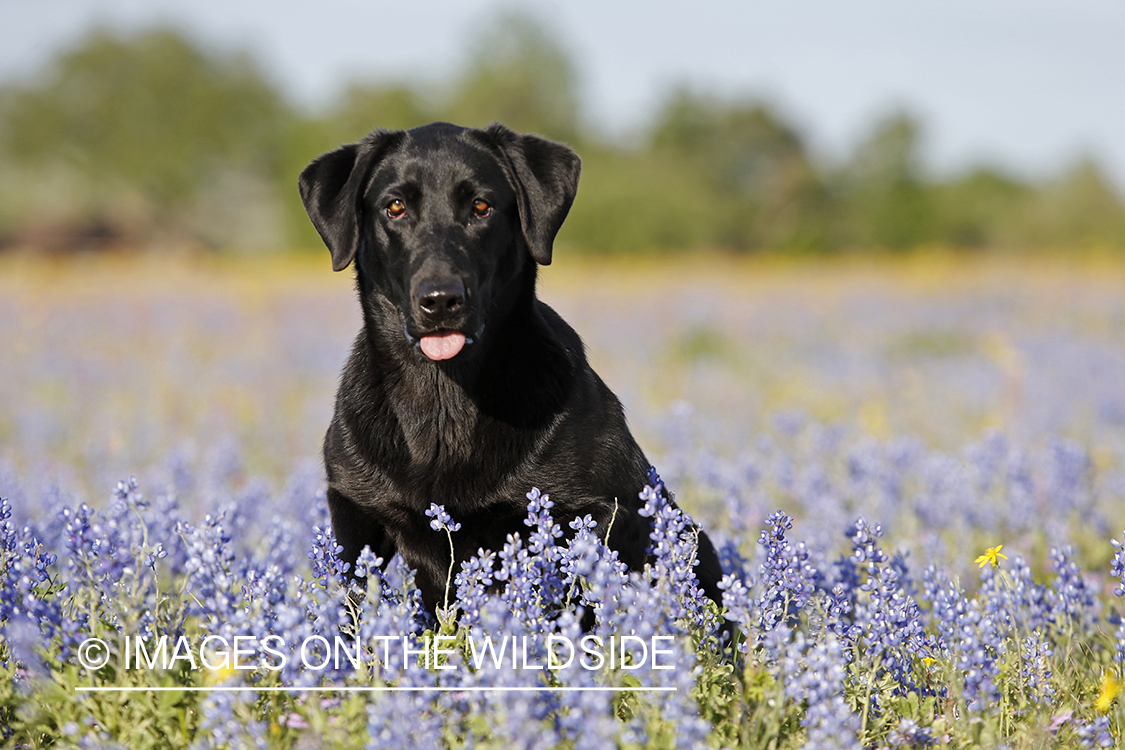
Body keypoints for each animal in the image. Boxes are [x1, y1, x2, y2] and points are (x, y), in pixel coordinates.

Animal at [299, 120, 724, 620]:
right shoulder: (354, 506)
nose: (440, 300)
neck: (445, 400)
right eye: (395, 207)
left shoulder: (588, 509)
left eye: (481, 207)